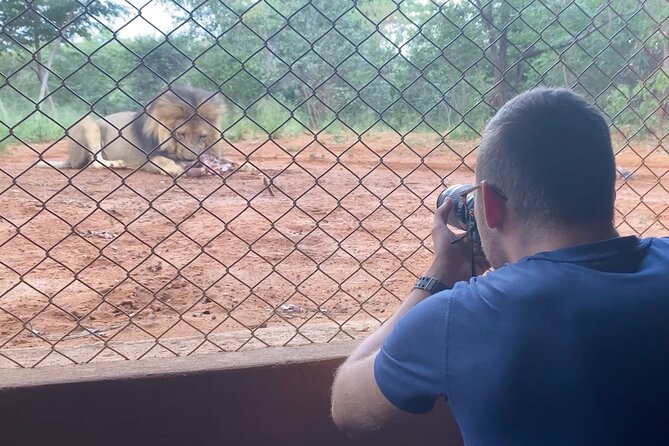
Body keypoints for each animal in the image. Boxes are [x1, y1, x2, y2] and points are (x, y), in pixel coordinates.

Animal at [39, 86, 237, 177]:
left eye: (203, 136)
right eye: (180, 134)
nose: (190, 160)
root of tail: (69, 158)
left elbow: (231, 160)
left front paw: (238, 164)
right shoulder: (148, 159)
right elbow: (162, 160)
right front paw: (175, 169)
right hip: (89, 122)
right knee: (94, 162)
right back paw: (117, 164)